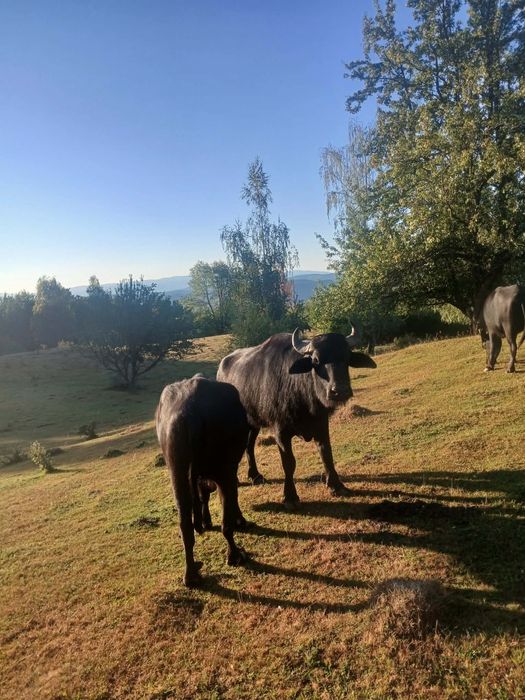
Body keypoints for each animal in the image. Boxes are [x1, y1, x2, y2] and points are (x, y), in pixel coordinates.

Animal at [155, 375, 250, 586]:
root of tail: (189, 413)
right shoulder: (228, 469)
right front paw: (239, 519)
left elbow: (202, 496)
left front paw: (205, 522)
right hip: (223, 468)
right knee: (226, 520)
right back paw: (234, 555)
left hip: (177, 471)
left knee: (185, 520)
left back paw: (191, 574)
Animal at [217, 328, 377, 509]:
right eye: (316, 360)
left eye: (346, 357)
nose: (340, 391)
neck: (300, 392)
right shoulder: (280, 432)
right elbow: (289, 463)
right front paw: (290, 496)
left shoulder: (321, 424)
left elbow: (326, 454)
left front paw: (336, 485)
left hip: (254, 422)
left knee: (249, 446)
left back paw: (255, 475)